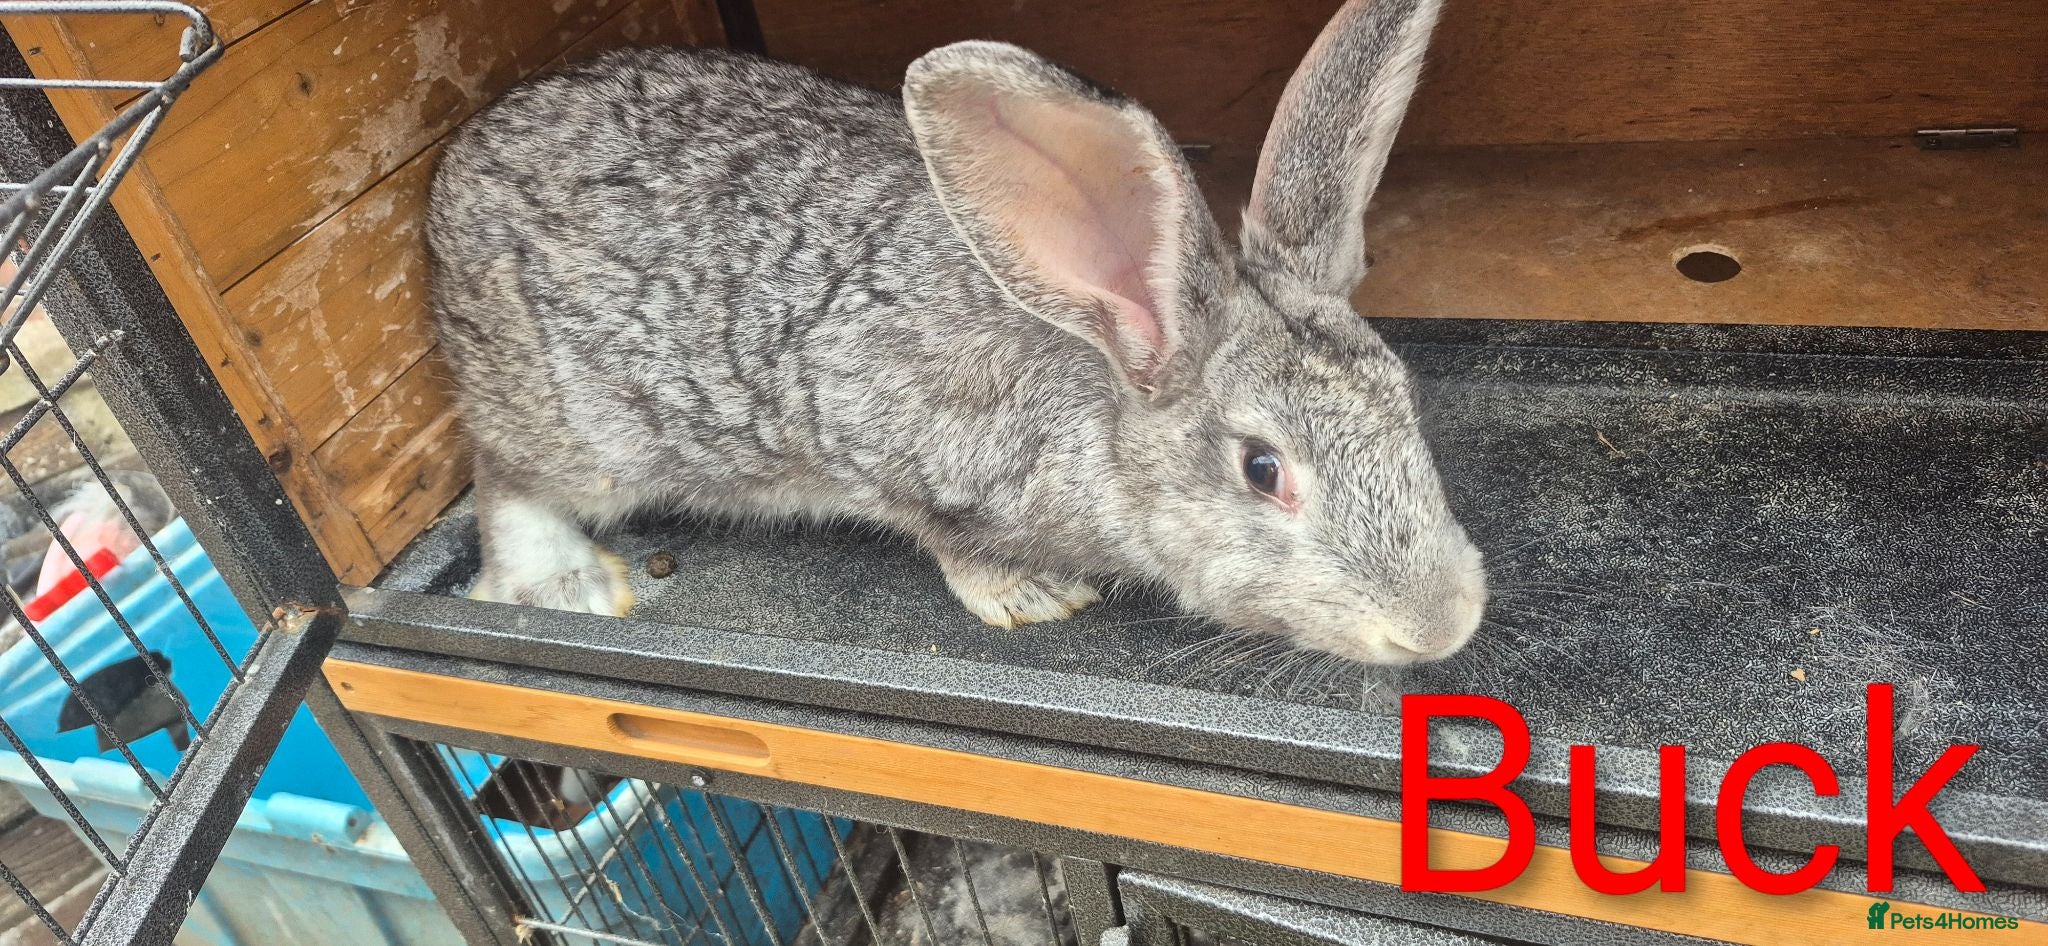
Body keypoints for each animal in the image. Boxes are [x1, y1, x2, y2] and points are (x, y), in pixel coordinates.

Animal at [425, 0, 1486, 664]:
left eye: (1407, 401)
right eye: (1263, 470)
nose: (1441, 627)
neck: (1106, 370)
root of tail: (456, 166)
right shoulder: (894, 448)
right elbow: (941, 538)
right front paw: (1029, 598)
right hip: (570, 427)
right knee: (505, 480)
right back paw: (567, 586)